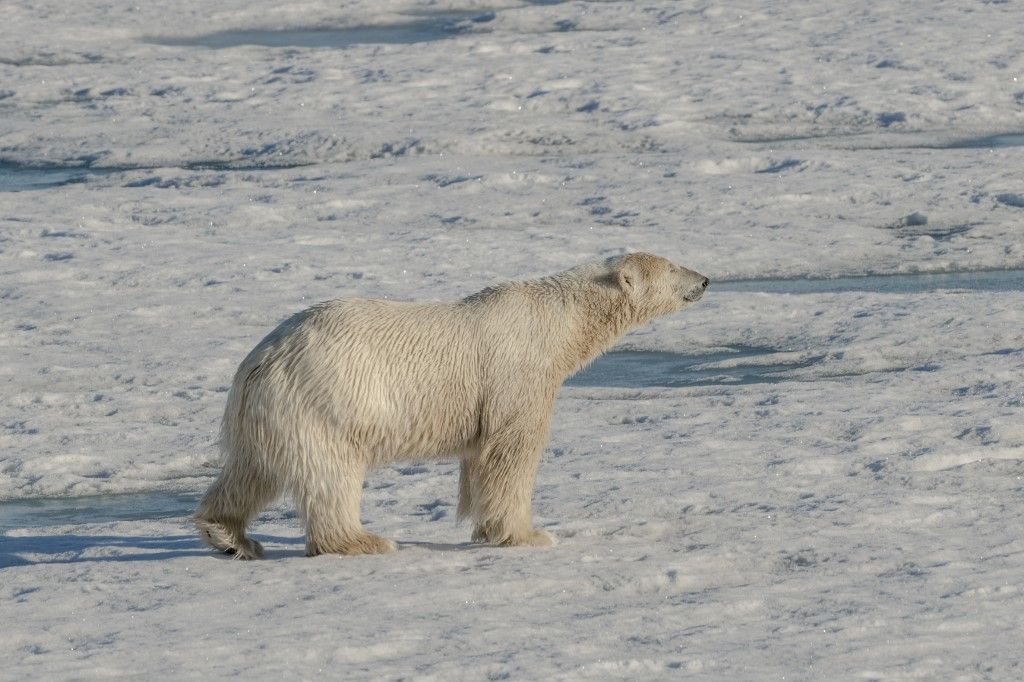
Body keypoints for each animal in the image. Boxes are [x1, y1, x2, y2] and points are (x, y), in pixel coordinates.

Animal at [192, 251, 708, 557]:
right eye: (672, 268)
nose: (705, 279)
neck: (559, 322)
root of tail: (261, 359)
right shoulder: (517, 372)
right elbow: (513, 449)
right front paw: (529, 534)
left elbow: (480, 458)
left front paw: (485, 528)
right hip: (324, 402)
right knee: (329, 476)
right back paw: (363, 540)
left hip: (268, 413)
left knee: (251, 471)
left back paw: (229, 535)